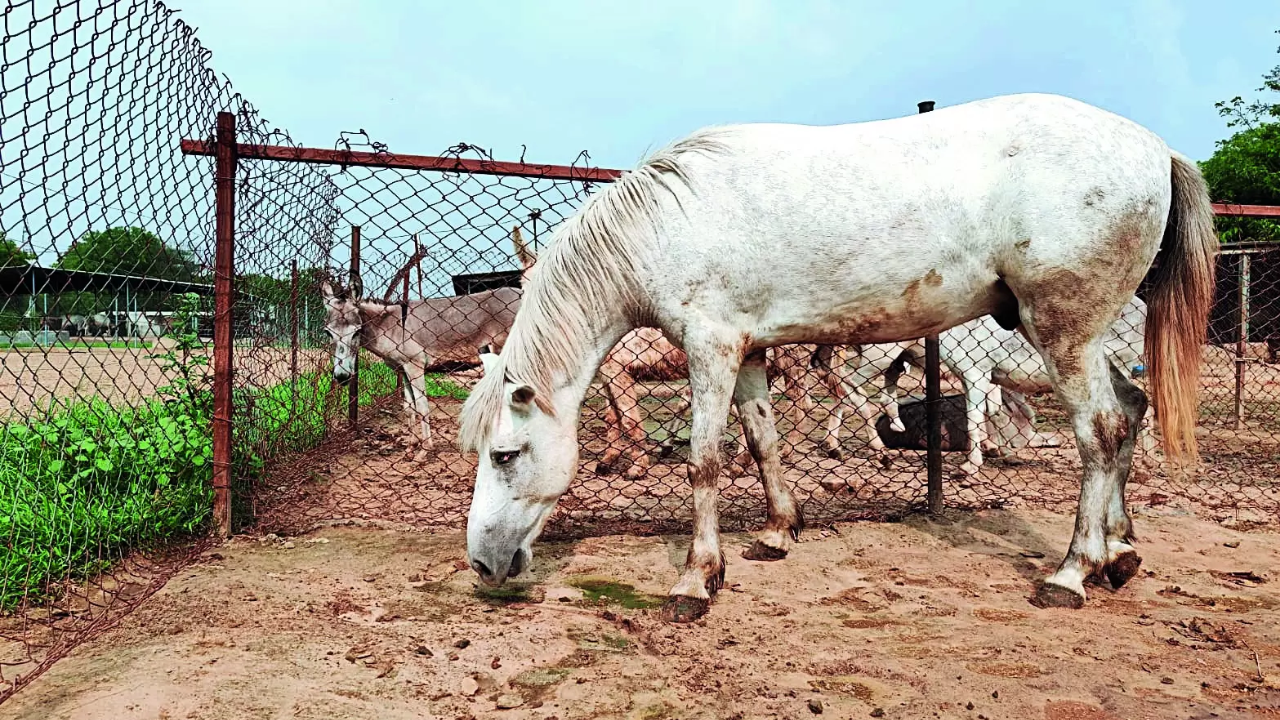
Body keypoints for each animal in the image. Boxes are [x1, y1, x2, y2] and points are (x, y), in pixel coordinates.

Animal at [455, 92, 1213, 620]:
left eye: (504, 455)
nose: (484, 564)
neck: (665, 226)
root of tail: (1155, 149)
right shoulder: (747, 351)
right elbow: (762, 442)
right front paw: (777, 533)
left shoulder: (710, 347)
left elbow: (704, 462)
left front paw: (698, 580)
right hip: (1079, 334)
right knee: (1130, 410)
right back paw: (1120, 552)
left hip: (1063, 329)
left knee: (1101, 432)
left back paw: (1072, 572)